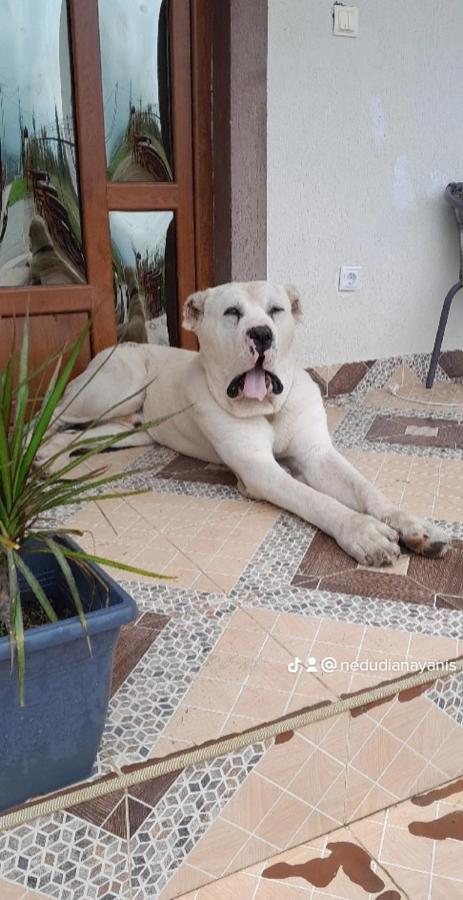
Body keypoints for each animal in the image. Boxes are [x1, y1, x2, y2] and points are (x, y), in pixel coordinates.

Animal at [42, 280, 450, 564]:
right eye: (232, 313)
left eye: (276, 310)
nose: (262, 334)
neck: (269, 408)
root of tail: (118, 345)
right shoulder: (259, 470)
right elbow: (317, 500)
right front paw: (362, 531)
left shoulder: (318, 455)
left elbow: (367, 490)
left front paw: (412, 525)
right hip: (117, 388)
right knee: (50, 418)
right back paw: (38, 454)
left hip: (129, 428)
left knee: (77, 437)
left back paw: (52, 460)